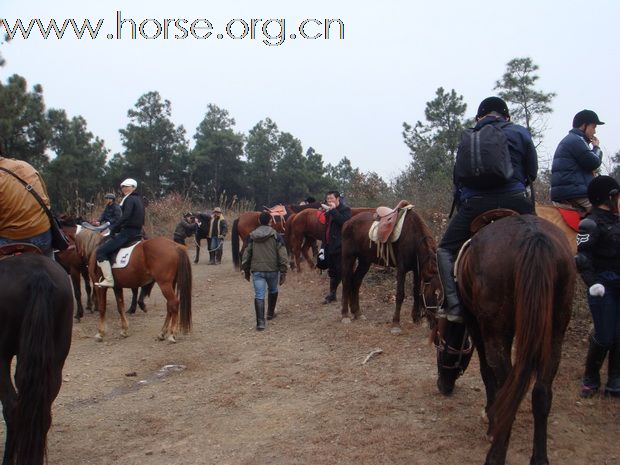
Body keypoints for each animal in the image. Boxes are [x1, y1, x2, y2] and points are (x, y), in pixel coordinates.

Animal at [436, 216, 576, 464]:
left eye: (440, 343)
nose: (442, 385)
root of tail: (532, 236)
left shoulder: (476, 324)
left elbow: (486, 372)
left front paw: (490, 417)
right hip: (555, 334)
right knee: (540, 393)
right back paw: (539, 458)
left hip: (496, 334)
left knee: (507, 387)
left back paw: (495, 453)